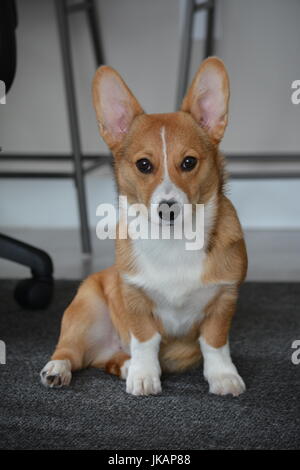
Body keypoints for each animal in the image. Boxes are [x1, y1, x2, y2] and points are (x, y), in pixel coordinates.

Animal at [40, 57, 246, 396]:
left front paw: (223, 377)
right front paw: (144, 376)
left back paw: (124, 366)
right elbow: (146, 340)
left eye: (189, 162)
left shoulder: (224, 299)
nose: (167, 209)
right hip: (85, 309)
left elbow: (214, 343)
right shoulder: (134, 298)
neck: (174, 240)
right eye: (144, 165)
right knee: (70, 351)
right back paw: (59, 369)